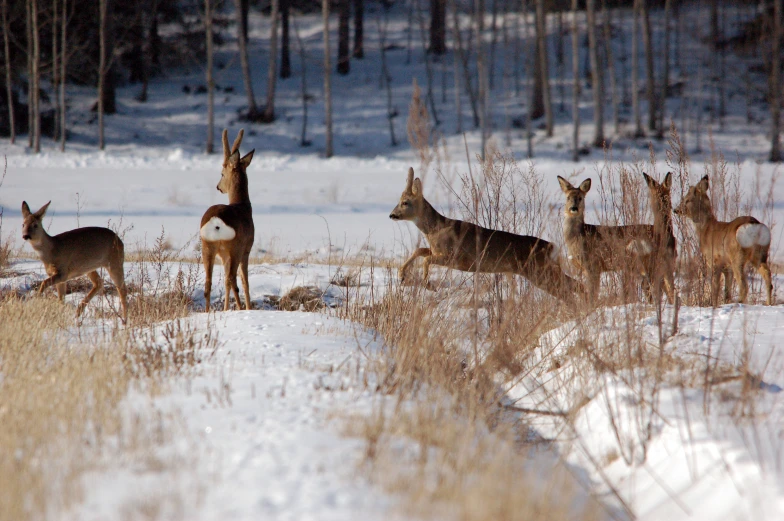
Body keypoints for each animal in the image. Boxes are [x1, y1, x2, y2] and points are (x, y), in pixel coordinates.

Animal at [201, 128, 256, 310]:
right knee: (233, 279)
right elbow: (245, 281)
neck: (243, 205)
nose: (219, 187)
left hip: (207, 246)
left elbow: (224, 281)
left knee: (208, 282)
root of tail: (216, 222)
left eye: (221, 173)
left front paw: (225, 309)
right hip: (235, 247)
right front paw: (249, 308)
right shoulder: (247, 248)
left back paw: (208, 311)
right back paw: (240, 308)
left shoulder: (223, 254)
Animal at [388, 168, 584, 300]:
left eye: (405, 202)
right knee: (573, 286)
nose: (391, 215)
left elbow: (426, 258)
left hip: (537, 270)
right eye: (399, 200)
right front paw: (402, 275)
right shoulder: (437, 251)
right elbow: (420, 251)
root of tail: (552, 247)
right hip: (545, 269)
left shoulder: (454, 256)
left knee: (567, 292)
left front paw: (428, 285)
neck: (435, 230)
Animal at [672, 175, 776, 304]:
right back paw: (768, 303)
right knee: (768, 277)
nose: (675, 210)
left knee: (743, 285)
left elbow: (715, 287)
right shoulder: (727, 267)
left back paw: (739, 302)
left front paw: (714, 304)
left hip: (738, 256)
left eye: (687, 200)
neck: (705, 229)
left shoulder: (714, 260)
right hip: (760, 254)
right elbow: (727, 291)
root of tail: (754, 225)